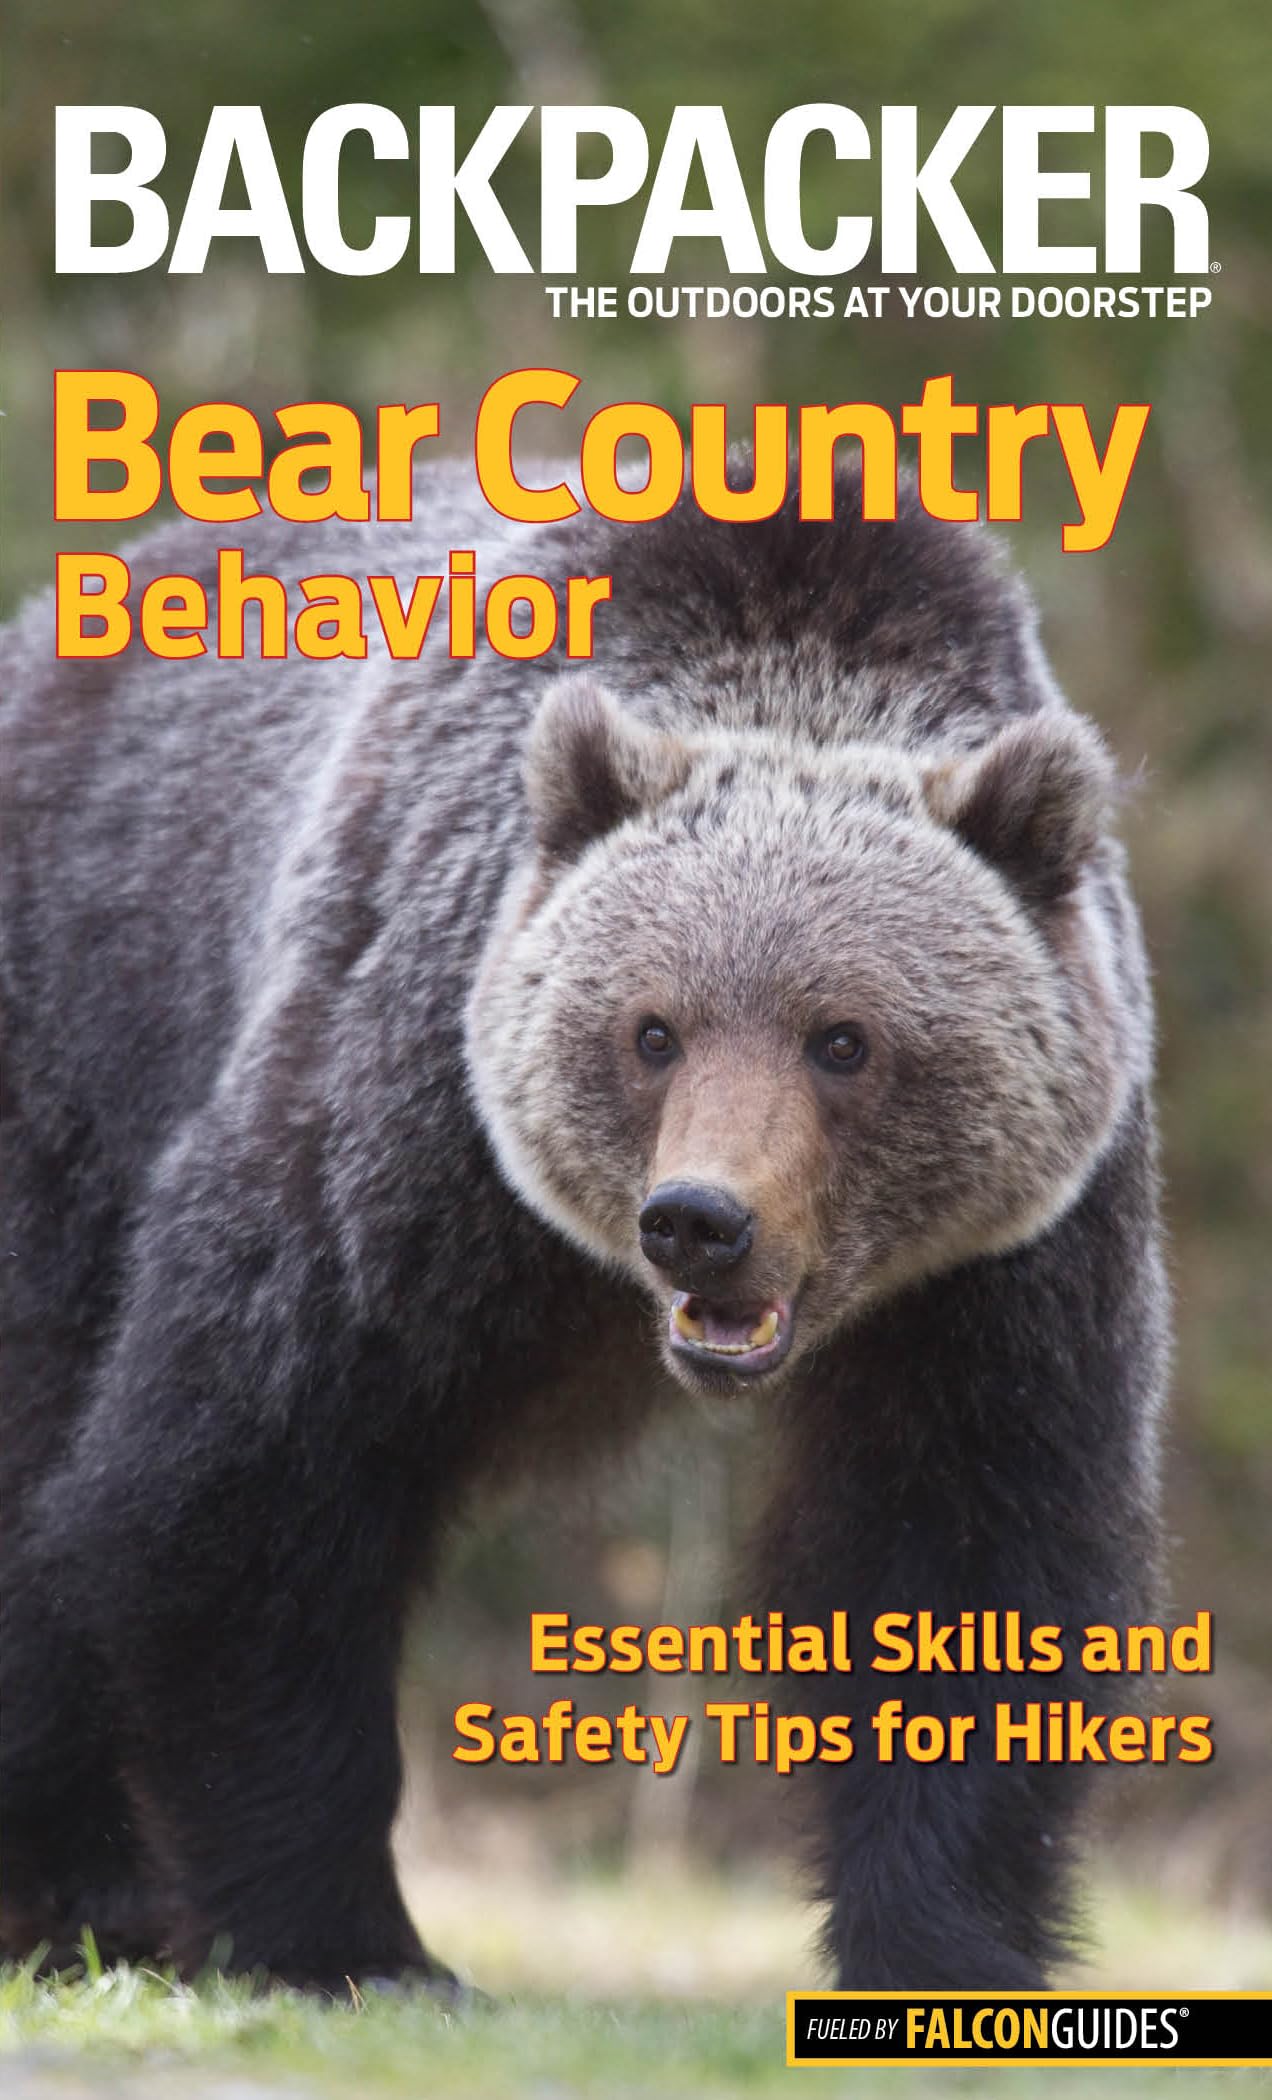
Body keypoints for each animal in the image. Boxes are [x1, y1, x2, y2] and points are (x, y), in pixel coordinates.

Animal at [0, 459, 1168, 1996]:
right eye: (652, 1030)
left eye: (843, 1039)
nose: (701, 1222)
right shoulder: (405, 1126)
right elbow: (248, 1479)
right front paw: (352, 1942)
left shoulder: (1004, 1268)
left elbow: (964, 1557)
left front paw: (939, 1946)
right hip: (80, 1037)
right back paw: (84, 1891)